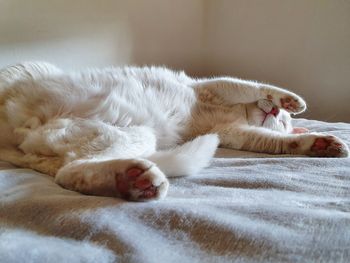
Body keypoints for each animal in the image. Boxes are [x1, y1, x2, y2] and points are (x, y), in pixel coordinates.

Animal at [0, 62, 348, 202]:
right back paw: (134, 179)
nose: (276, 113)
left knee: (71, 172)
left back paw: (131, 182)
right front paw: (291, 100)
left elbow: (279, 142)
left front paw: (320, 143)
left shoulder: (234, 132)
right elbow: (254, 86)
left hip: (134, 136)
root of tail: (16, 142)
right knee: (68, 172)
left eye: (284, 123)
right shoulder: (214, 86)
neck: (235, 113)